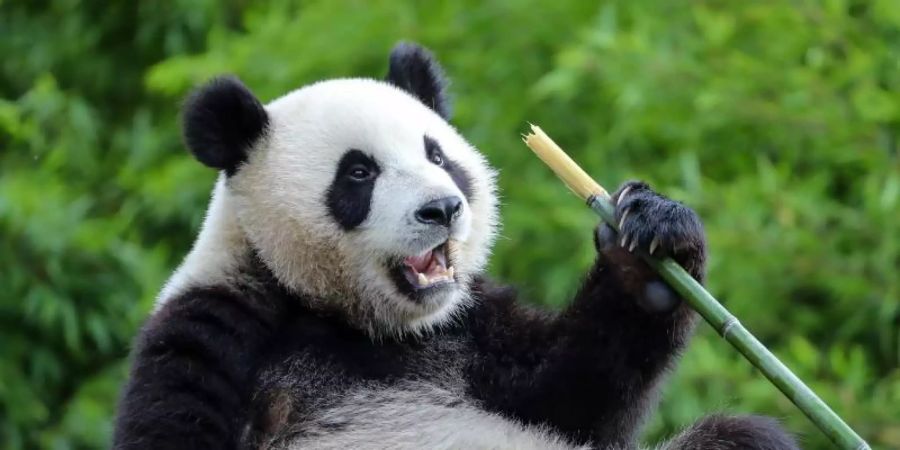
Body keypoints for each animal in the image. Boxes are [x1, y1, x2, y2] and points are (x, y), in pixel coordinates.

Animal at [110, 43, 796, 450]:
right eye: (358, 173)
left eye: (437, 155)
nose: (442, 209)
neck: (354, 322)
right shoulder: (215, 332)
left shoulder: (467, 330)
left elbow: (574, 394)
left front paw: (648, 245)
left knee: (743, 437)